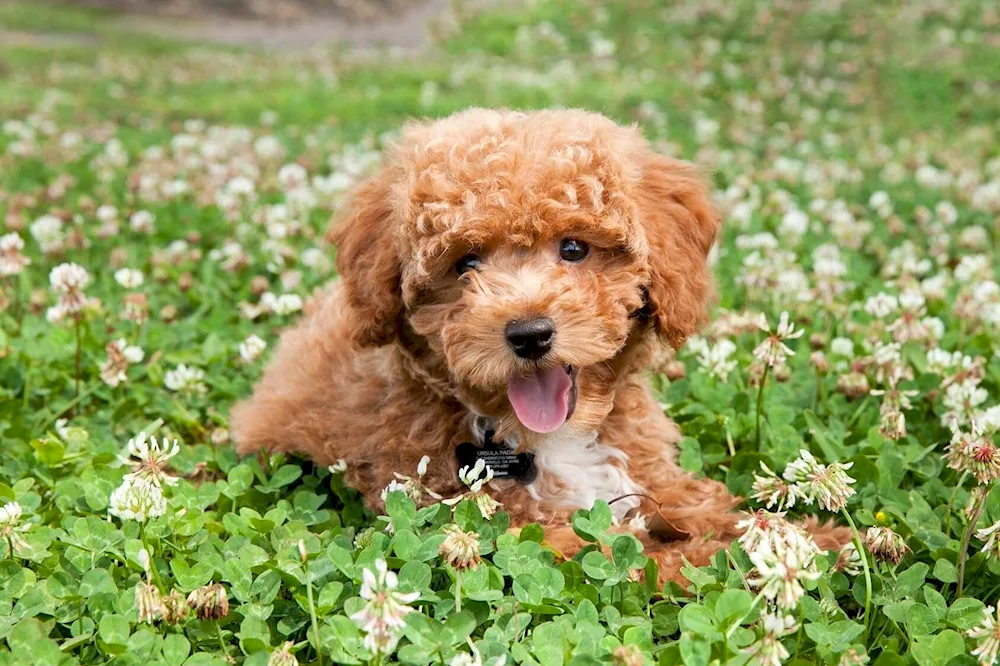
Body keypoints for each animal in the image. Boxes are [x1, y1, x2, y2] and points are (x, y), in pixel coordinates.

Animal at [230, 109, 848, 580]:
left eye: (573, 249)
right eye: (466, 264)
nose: (529, 333)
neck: (550, 438)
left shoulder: (650, 471)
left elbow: (709, 505)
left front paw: (819, 538)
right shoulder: (523, 533)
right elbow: (650, 558)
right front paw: (763, 556)